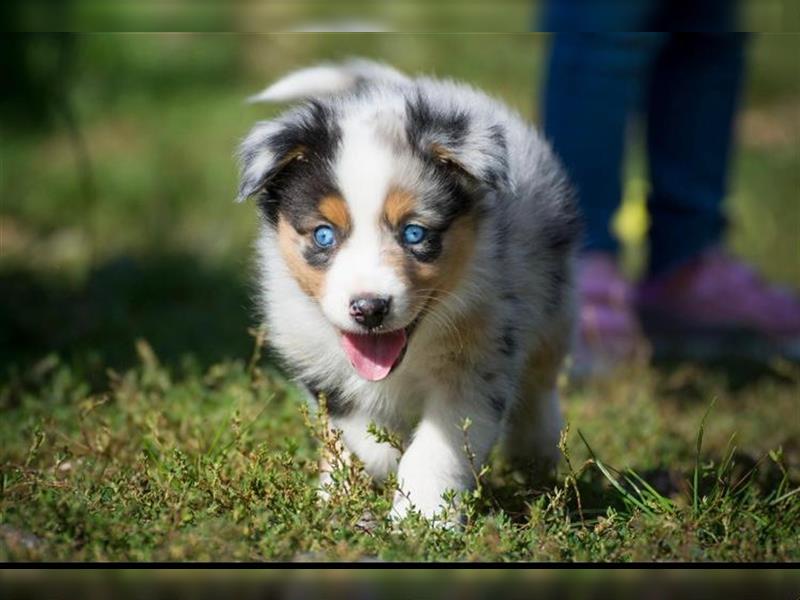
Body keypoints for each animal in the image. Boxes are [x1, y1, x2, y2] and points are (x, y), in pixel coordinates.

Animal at [234, 58, 580, 524]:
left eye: (414, 233)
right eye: (324, 235)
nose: (369, 308)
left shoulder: (479, 360)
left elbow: (437, 449)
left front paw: (424, 520)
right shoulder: (311, 350)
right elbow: (356, 429)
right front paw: (361, 478)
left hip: (553, 308)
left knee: (540, 382)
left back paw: (536, 455)